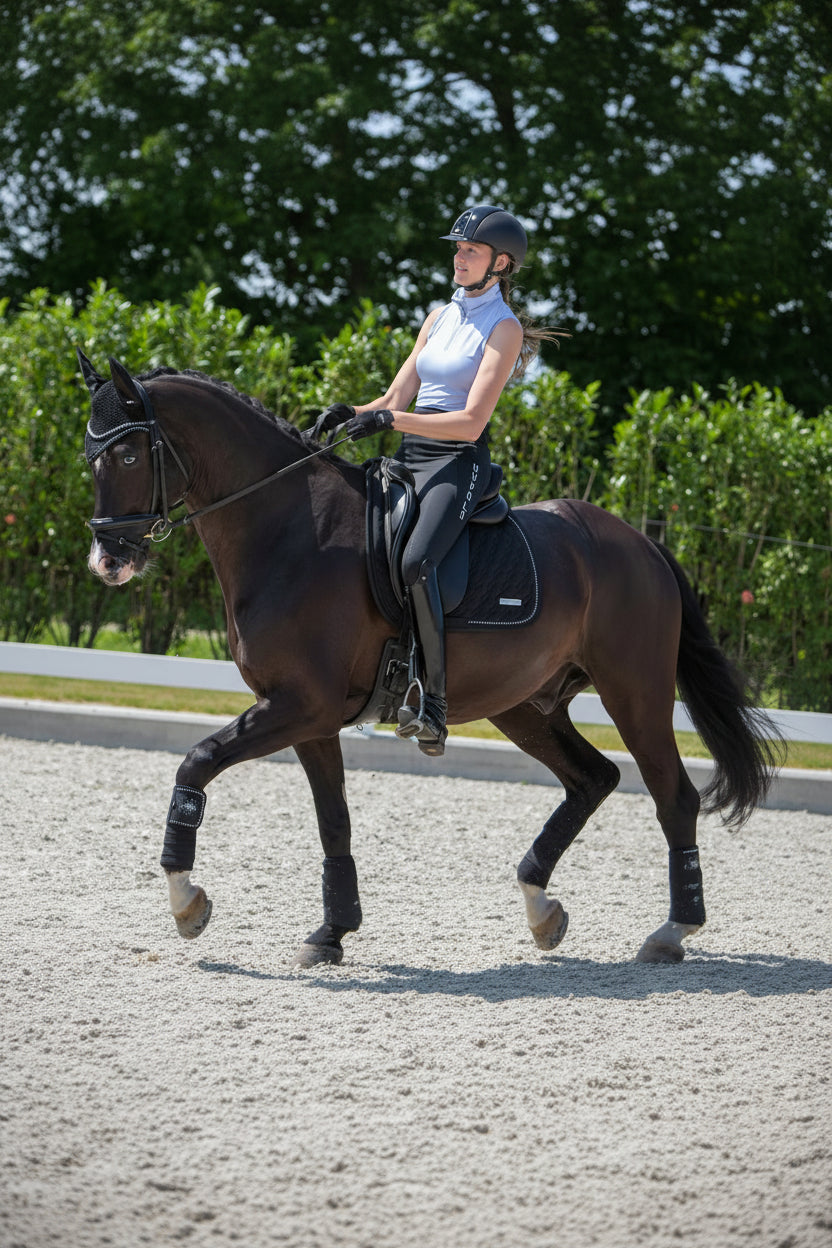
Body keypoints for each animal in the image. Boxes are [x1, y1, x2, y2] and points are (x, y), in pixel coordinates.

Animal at [78, 351, 781, 967]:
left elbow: (196, 763)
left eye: (129, 453)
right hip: (524, 704)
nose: (108, 560)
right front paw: (331, 934)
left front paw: (187, 903)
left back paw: (671, 932)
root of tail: (640, 543)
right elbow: (334, 821)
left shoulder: (298, 705)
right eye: (92, 458)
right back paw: (541, 908)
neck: (289, 531)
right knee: (593, 779)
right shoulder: (307, 715)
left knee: (673, 797)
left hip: (634, 693)